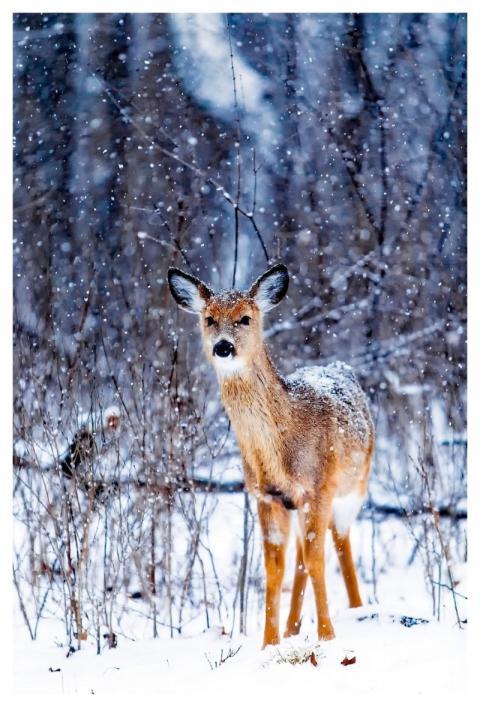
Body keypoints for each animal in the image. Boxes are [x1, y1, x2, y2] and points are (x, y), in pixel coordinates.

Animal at [168, 263, 374, 647]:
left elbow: (318, 559)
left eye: (245, 318)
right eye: (209, 319)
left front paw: (327, 636)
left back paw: (357, 609)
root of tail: (340, 366)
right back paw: (293, 628)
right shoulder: (267, 495)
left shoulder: (318, 487)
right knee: (301, 557)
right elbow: (274, 569)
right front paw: (269, 643)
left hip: (354, 486)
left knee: (339, 543)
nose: (223, 346)